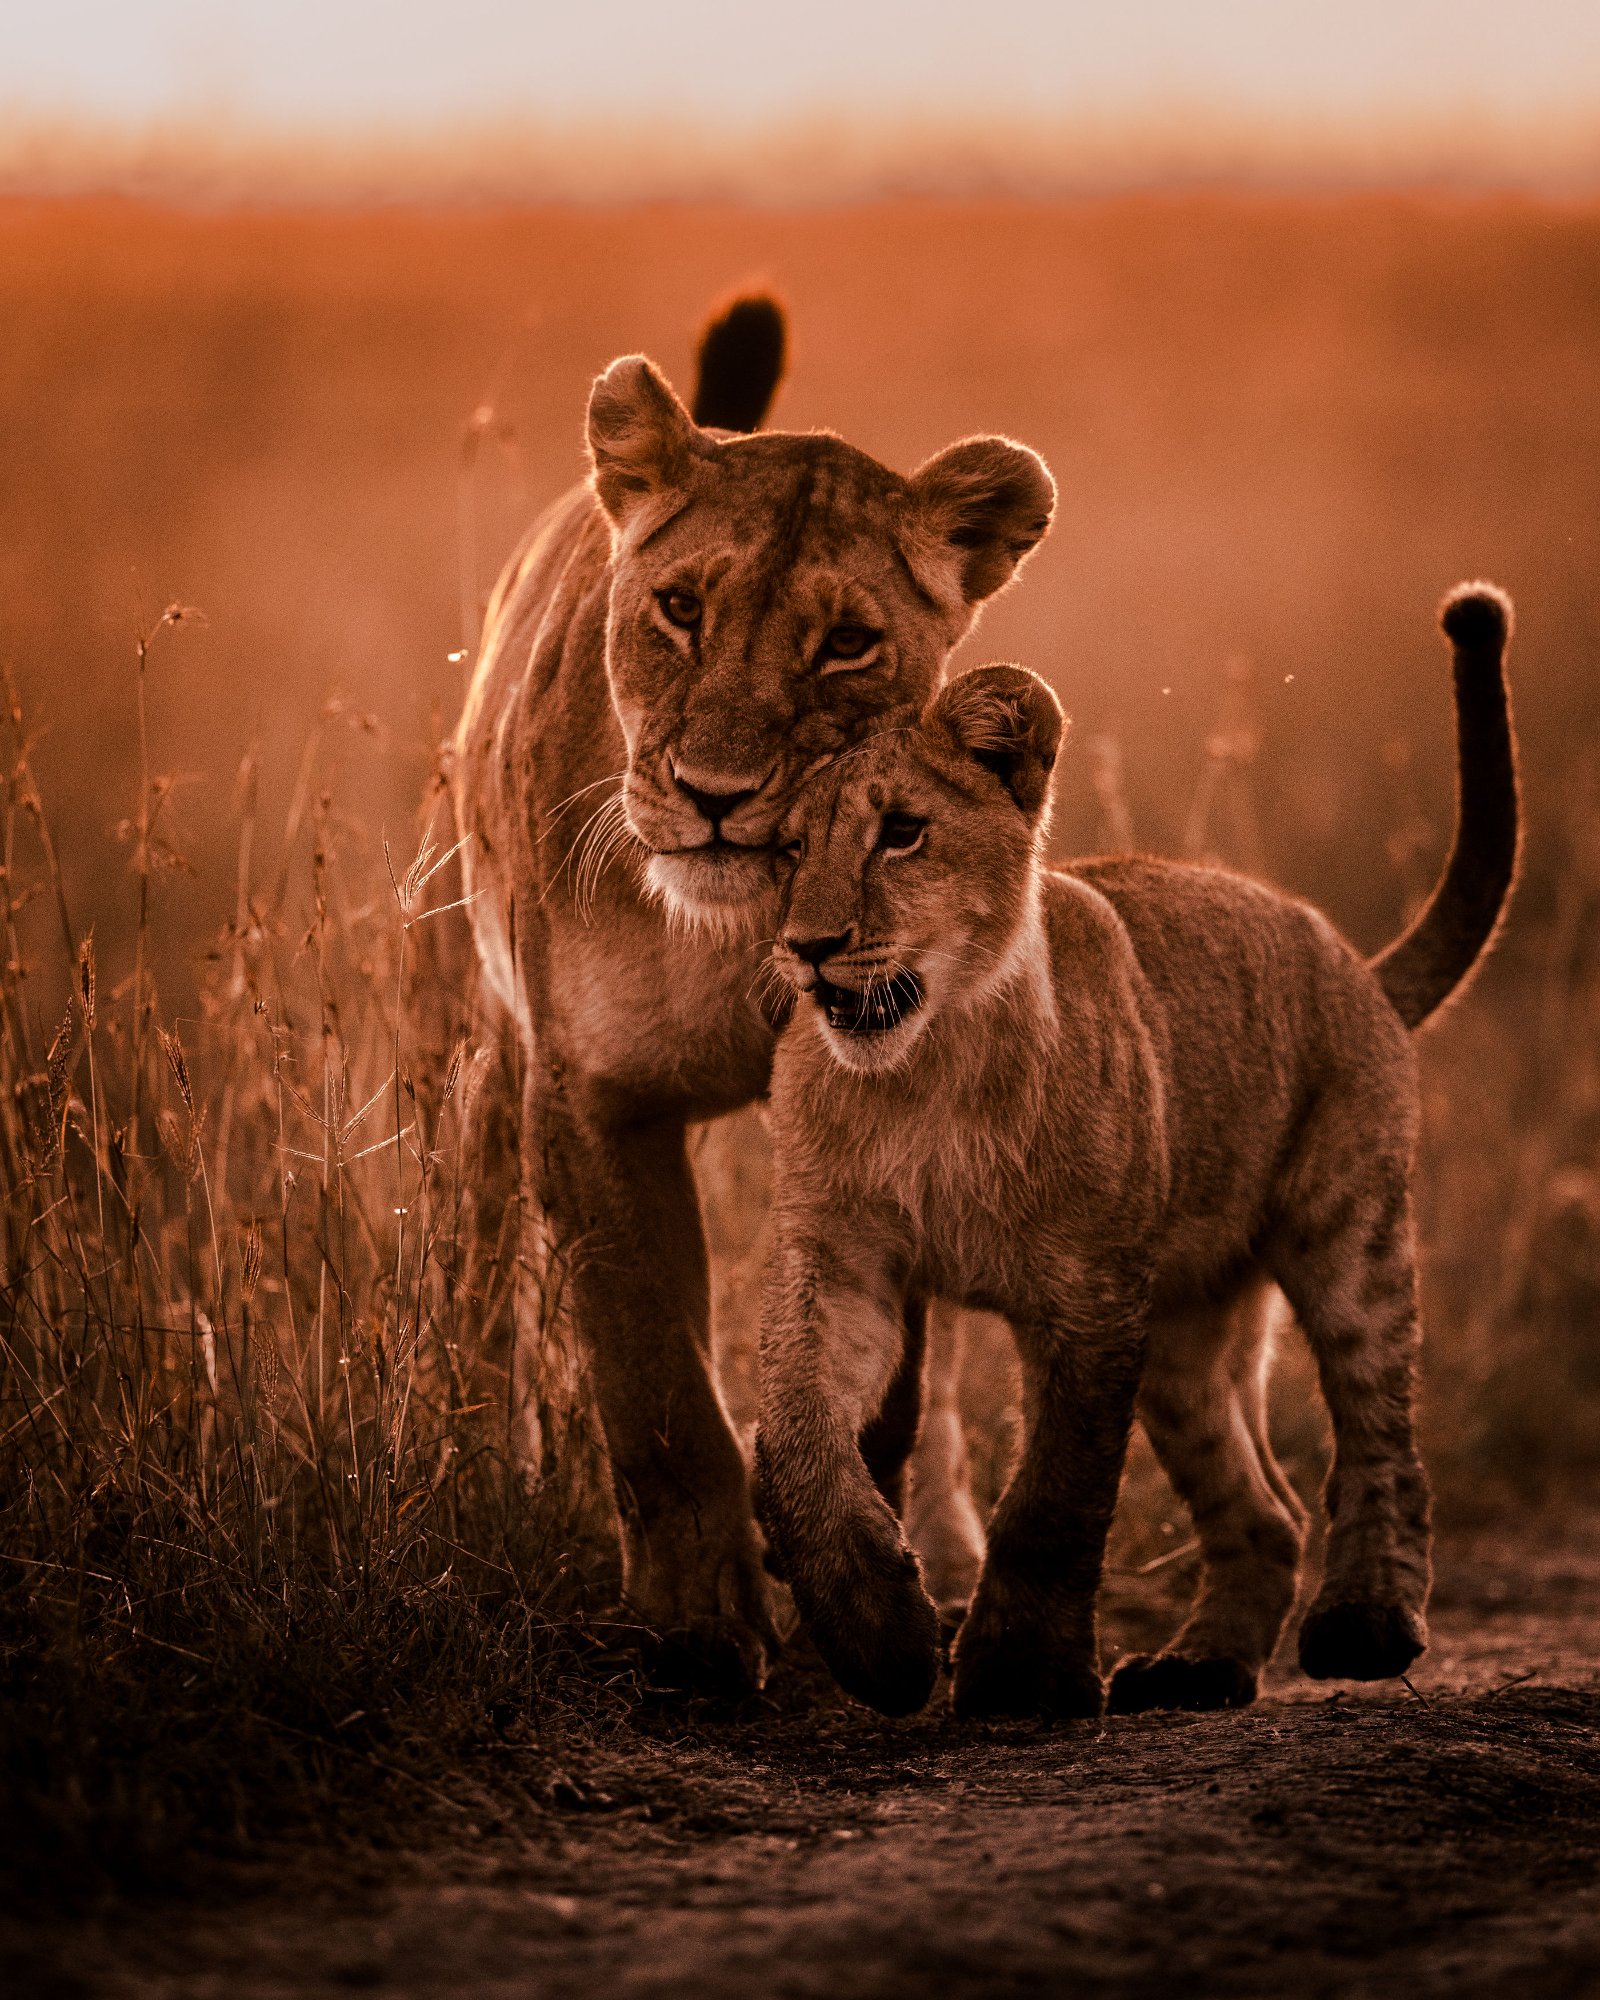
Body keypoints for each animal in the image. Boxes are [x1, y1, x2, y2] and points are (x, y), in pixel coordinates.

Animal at [449, 296, 1054, 1692]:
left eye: (846, 643)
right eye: (678, 608)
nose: (717, 794)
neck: (734, 938)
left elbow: (873, 1383)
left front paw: (858, 1586)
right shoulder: (586, 1094)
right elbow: (654, 1376)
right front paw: (694, 1628)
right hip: (490, 1069)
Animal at [752, 586, 1519, 1719]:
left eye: (901, 834)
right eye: (787, 850)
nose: (809, 947)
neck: (927, 1073)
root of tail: (1352, 959)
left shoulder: (1092, 1291)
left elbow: (1056, 1493)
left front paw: (1021, 1675)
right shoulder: (844, 1257)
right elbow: (799, 1427)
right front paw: (874, 1632)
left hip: (1344, 1230)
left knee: (1378, 1431)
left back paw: (1366, 1623)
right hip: (1186, 1329)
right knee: (1264, 1512)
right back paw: (1194, 1669)